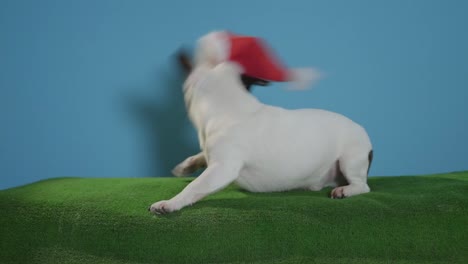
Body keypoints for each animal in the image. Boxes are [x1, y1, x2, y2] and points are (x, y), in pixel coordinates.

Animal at [150, 31, 372, 214]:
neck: (228, 104)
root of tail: (365, 135)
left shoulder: (223, 167)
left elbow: (194, 186)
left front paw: (170, 203)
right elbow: (200, 156)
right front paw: (186, 166)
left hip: (351, 159)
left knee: (363, 185)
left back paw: (345, 190)